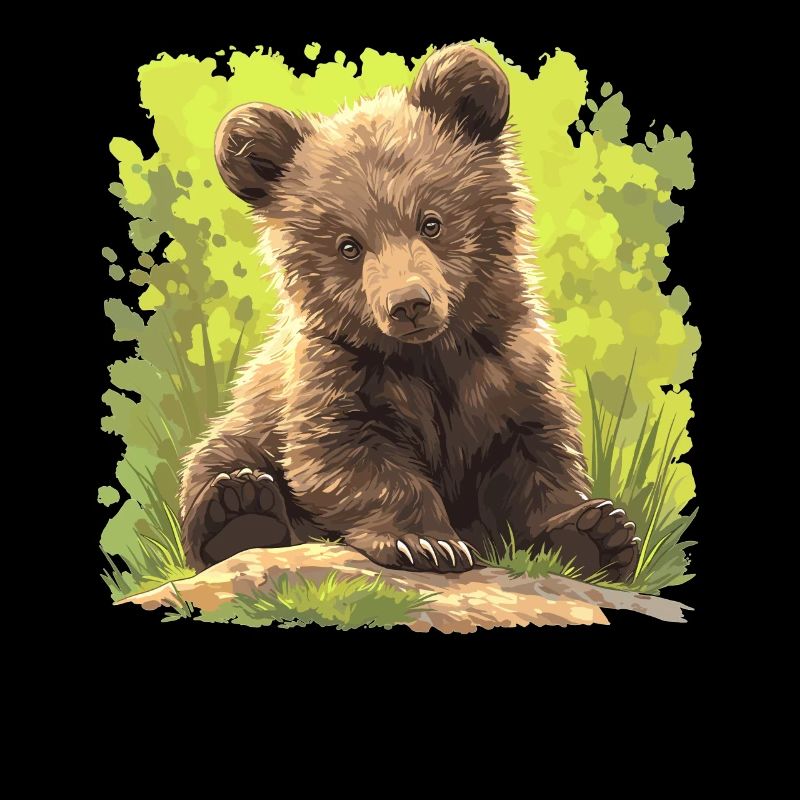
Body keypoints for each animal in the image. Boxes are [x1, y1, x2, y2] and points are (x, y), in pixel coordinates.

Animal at [179, 43, 640, 582]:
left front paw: (597, 533)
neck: (432, 353)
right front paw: (426, 543)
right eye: (349, 245)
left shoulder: (510, 367)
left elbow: (536, 457)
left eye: (431, 221)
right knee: (216, 462)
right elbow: (348, 458)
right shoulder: (339, 373)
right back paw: (239, 506)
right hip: (247, 424)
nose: (409, 304)